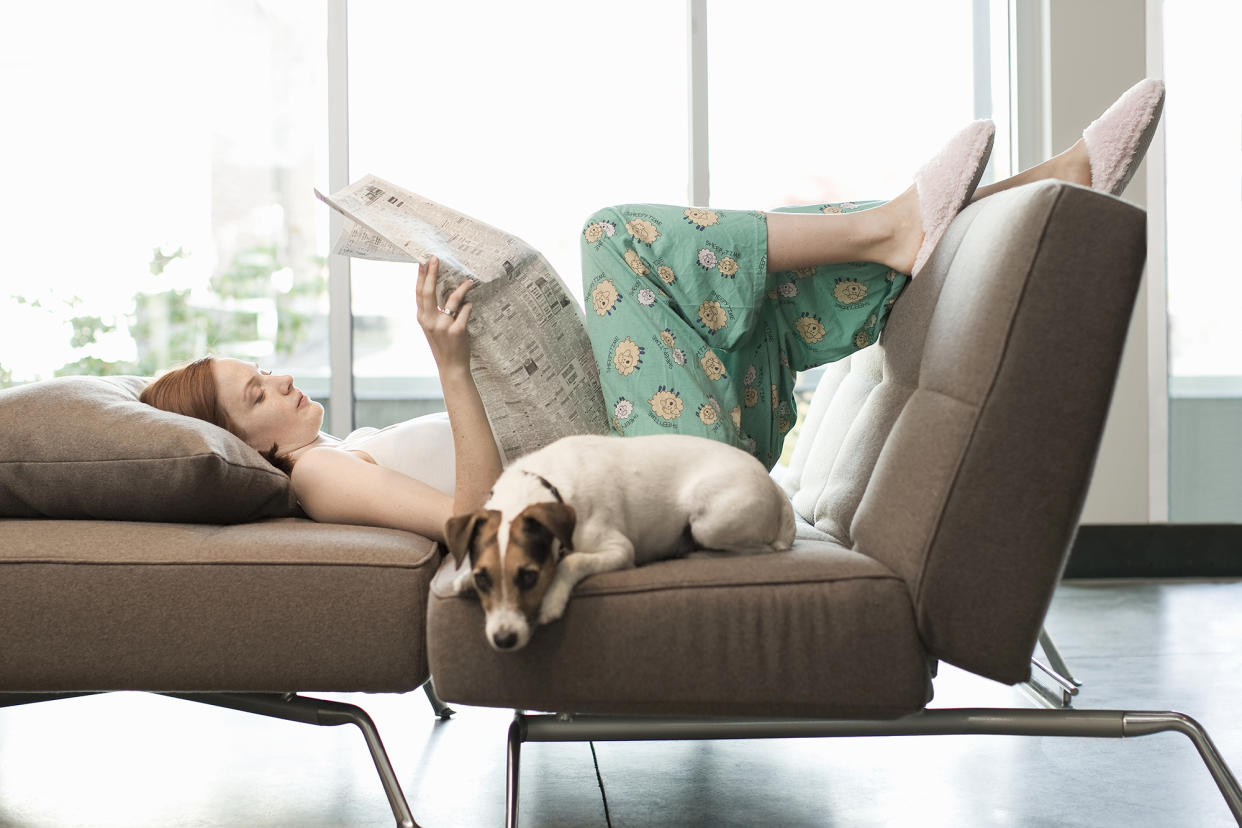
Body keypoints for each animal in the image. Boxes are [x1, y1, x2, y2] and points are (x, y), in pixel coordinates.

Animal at [444, 431, 794, 650]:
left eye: (530, 577)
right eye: (483, 579)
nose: (503, 640)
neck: (547, 487)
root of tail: (777, 491)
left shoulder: (619, 550)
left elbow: (571, 560)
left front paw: (553, 598)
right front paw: (463, 579)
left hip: (708, 520)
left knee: (759, 550)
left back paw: (695, 554)